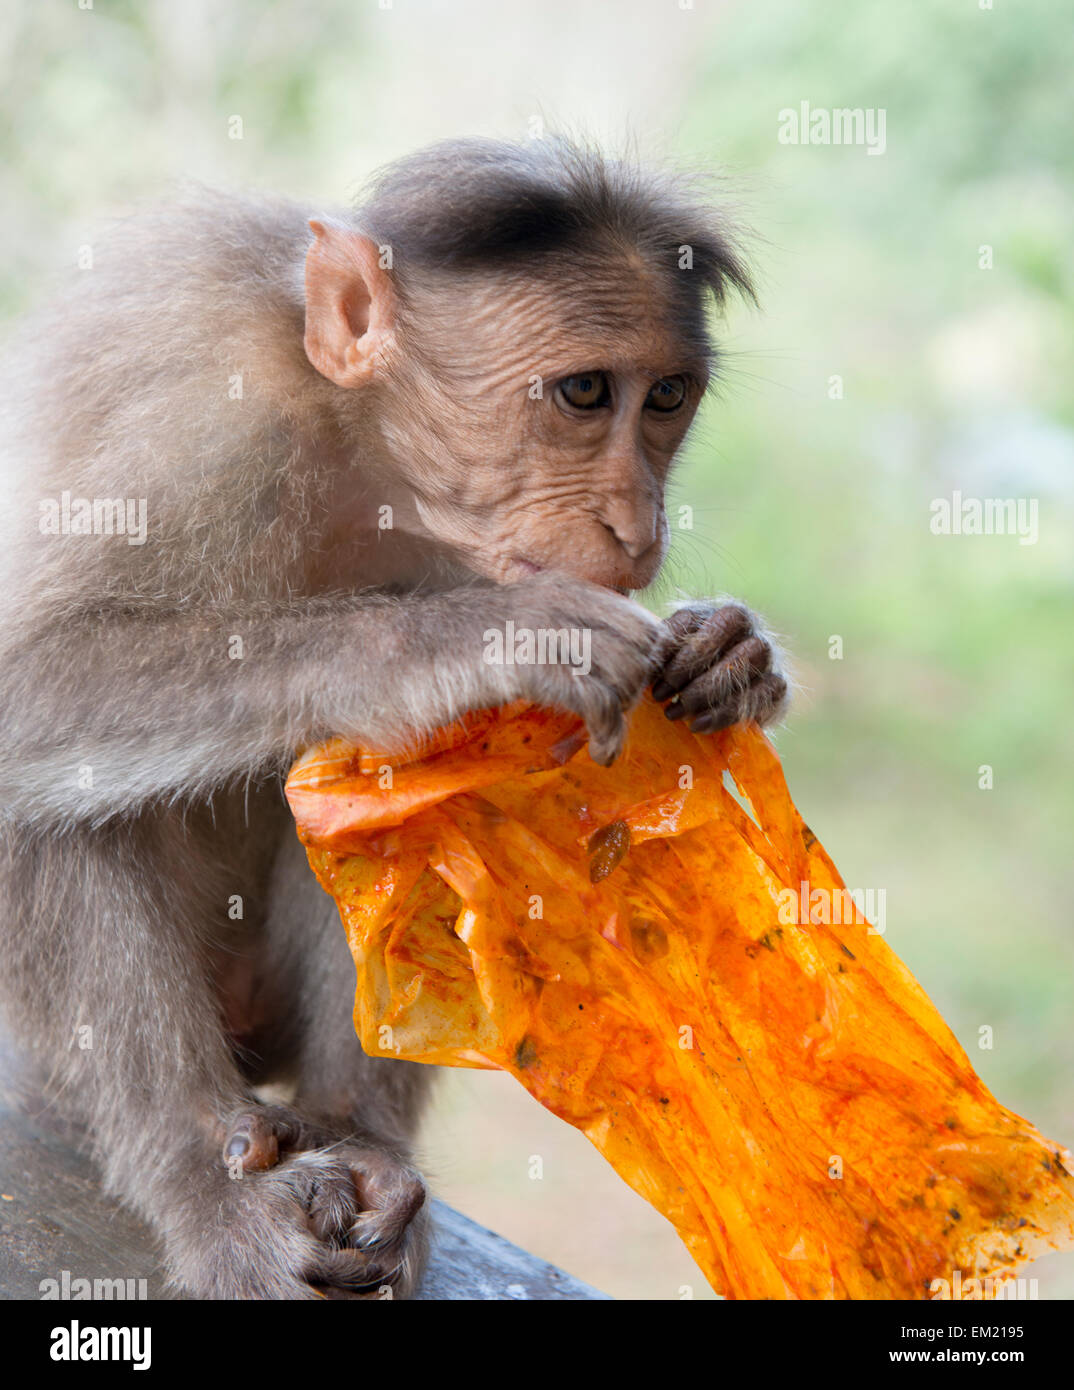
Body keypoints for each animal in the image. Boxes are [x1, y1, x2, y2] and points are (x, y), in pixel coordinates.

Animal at [0, 135, 789, 1295]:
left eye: (668, 398)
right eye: (585, 392)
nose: (637, 524)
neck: (362, 443)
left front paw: (730, 650)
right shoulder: (197, 410)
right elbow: (30, 675)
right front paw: (466, 646)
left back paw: (357, 1134)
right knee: (64, 801)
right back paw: (201, 1172)